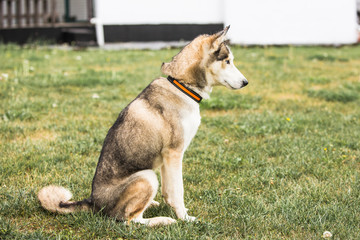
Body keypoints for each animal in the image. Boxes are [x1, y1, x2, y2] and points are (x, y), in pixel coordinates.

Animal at [38, 26, 248, 227]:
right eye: (227, 61)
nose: (246, 82)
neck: (182, 86)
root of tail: (93, 202)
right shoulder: (174, 153)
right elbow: (177, 191)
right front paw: (185, 218)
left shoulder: (167, 159)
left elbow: (169, 191)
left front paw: (175, 209)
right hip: (147, 176)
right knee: (129, 220)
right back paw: (161, 221)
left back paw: (152, 205)